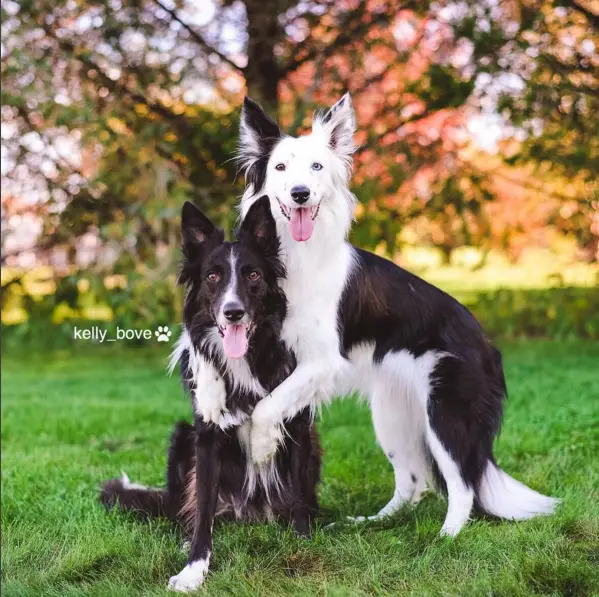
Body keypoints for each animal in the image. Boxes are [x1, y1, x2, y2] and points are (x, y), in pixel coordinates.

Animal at [237, 96, 560, 536]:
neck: (296, 255)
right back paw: (375, 522)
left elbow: (266, 407)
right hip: (393, 416)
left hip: (445, 415)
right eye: (281, 168)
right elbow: (266, 402)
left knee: (462, 485)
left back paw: (446, 537)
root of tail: (486, 342)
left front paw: (260, 447)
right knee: (413, 479)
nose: (300, 194)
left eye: (317, 167)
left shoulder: (321, 361)